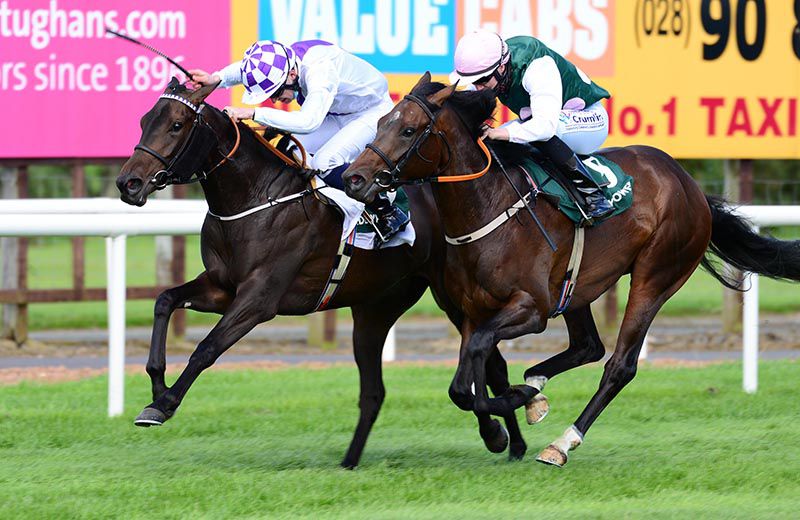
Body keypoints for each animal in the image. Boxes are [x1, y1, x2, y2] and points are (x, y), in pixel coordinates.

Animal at [115, 78, 530, 468]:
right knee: (378, 390)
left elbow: (206, 348)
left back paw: (502, 434)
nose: (127, 183)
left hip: (455, 297)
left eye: (177, 125)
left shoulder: (258, 299)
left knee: (490, 361)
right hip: (377, 307)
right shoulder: (221, 287)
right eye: (144, 121)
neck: (255, 198)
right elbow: (165, 300)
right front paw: (156, 385)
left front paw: (163, 404)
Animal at [342, 73, 800, 467]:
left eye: (408, 130)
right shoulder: (473, 310)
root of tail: (691, 187)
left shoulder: (532, 309)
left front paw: (510, 405)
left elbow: (478, 366)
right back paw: (536, 389)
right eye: (380, 122)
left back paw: (561, 442)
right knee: (588, 346)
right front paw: (502, 423)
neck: (488, 207)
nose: (354, 178)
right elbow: (462, 381)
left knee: (618, 365)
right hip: (578, 285)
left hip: (656, 276)